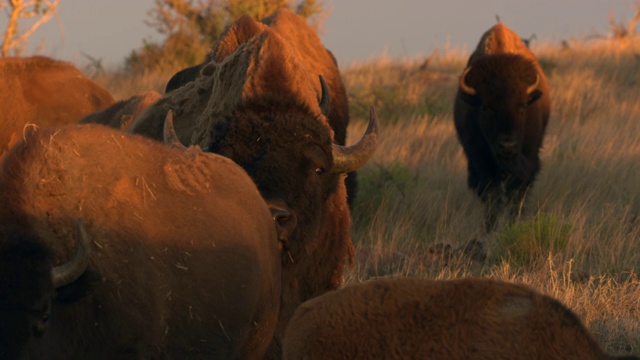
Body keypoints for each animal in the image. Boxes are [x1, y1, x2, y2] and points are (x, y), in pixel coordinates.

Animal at [452, 22, 552, 231]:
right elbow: (492, 197)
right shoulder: (481, 161)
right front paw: (489, 228)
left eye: (522, 106)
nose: (507, 146)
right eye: (485, 108)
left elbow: (516, 195)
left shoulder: (527, 160)